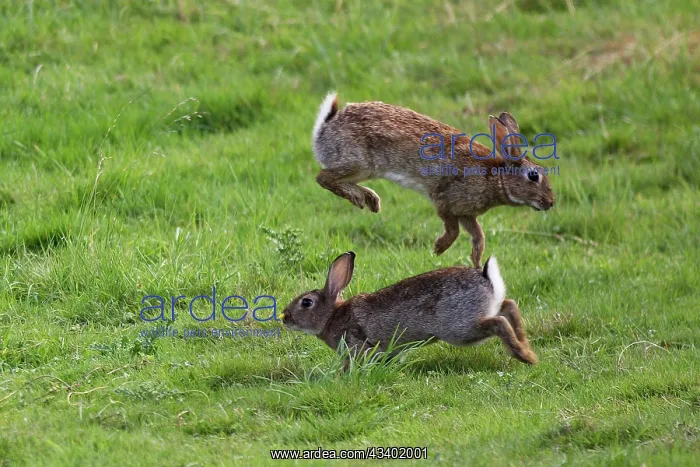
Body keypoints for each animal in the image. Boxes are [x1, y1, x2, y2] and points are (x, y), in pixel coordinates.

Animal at [280, 252, 538, 370]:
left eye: (306, 303)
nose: (285, 317)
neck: (332, 316)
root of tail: (486, 278)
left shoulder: (356, 343)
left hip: (460, 328)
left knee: (498, 322)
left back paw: (524, 356)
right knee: (509, 306)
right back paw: (526, 346)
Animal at [311, 93, 556, 267]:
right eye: (534, 176)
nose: (551, 202)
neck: (495, 177)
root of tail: (325, 127)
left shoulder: (466, 213)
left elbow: (478, 234)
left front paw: (476, 261)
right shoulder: (445, 198)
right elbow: (453, 230)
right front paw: (438, 248)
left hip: (363, 170)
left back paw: (370, 199)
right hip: (358, 162)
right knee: (323, 177)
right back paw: (359, 198)